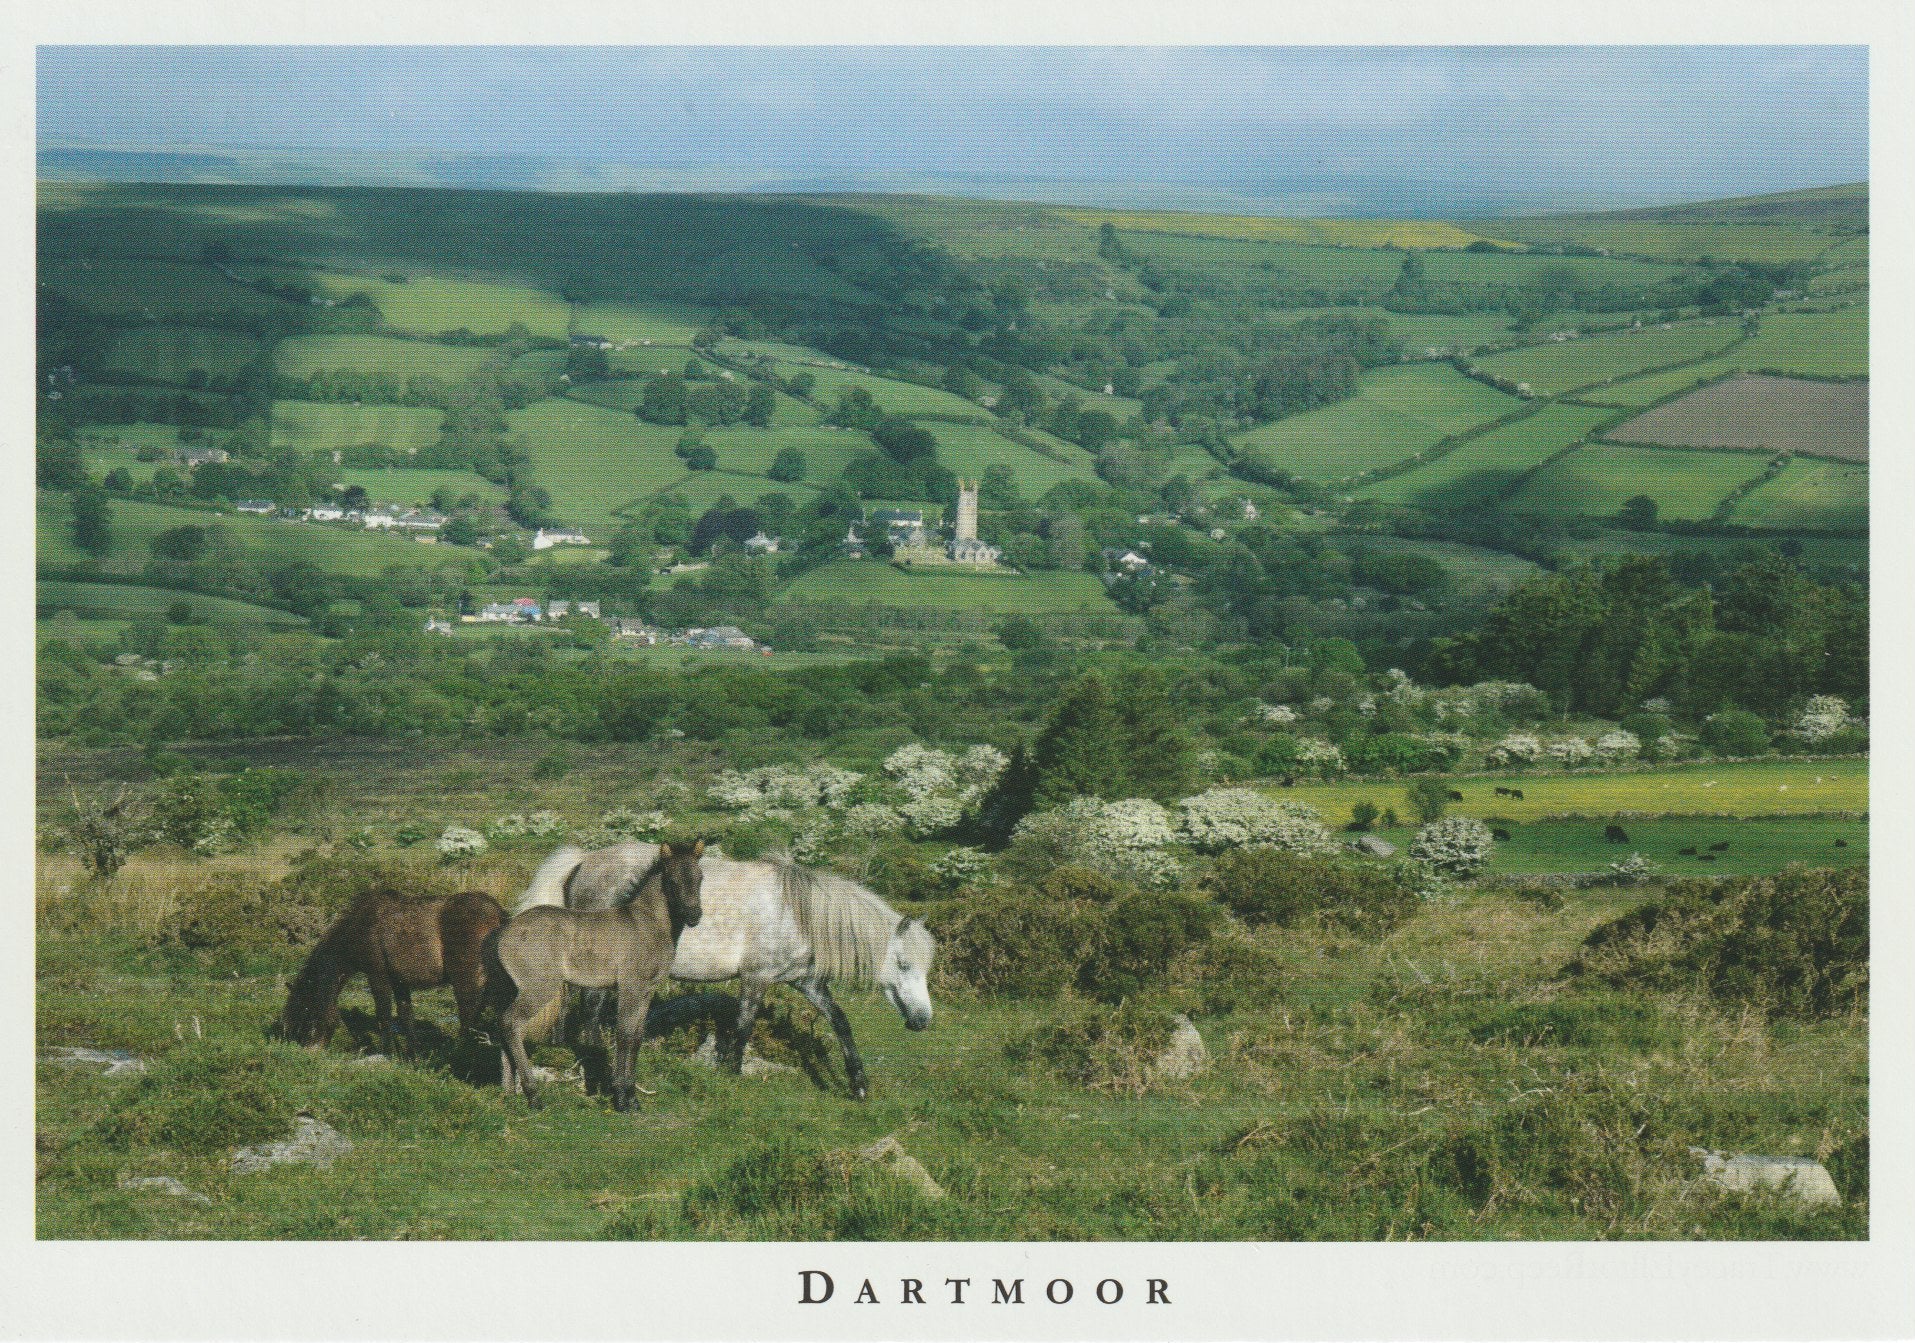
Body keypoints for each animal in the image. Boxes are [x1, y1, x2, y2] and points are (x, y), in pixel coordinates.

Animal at [279, 888, 505, 1057]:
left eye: (306, 1010)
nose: (309, 1050)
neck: (362, 926)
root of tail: (497, 912)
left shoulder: (377, 976)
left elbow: (384, 1015)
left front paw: (387, 1052)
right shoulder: (399, 982)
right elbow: (406, 1016)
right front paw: (413, 1054)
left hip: (465, 980)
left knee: (468, 1015)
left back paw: (458, 1052)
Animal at [494, 839, 704, 1111]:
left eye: (700, 877)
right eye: (672, 880)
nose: (694, 915)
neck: (647, 924)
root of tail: (503, 933)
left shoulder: (647, 991)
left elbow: (637, 1037)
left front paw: (632, 1098)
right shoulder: (631, 987)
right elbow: (625, 1035)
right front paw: (622, 1098)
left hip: (514, 988)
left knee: (502, 1024)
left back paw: (509, 1091)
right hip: (539, 988)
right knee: (512, 1023)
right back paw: (534, 1095)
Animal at [517, 839, 934, 1103]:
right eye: (903, 964)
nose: (922, 1021)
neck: (797, 912)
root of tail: (584, 861)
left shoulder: (806, 982)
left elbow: (840, 1022)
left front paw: (859, 1085)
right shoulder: (756, 978)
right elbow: (744, 1025)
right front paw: (731, 1074)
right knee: (588, 1011)